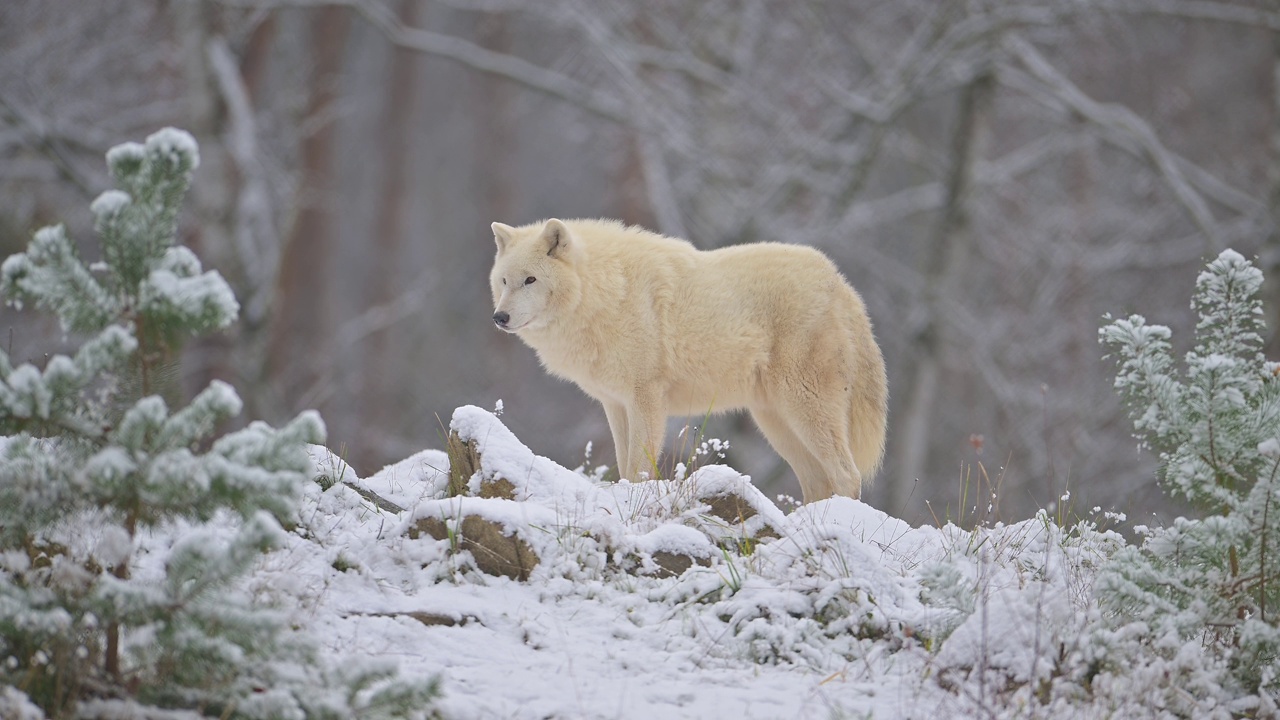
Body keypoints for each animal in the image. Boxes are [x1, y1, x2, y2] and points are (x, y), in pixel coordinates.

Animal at [488, 215, 890, 502]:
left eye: (530, 280)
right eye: (504, 281)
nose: (499, 317)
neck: (607, 293)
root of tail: (839, 282)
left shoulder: (646, 398)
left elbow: (639, 466)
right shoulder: (615, 404)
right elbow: (623, 464)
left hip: (804, 409)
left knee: (847, 475)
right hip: (776, 423)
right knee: (818, 482)